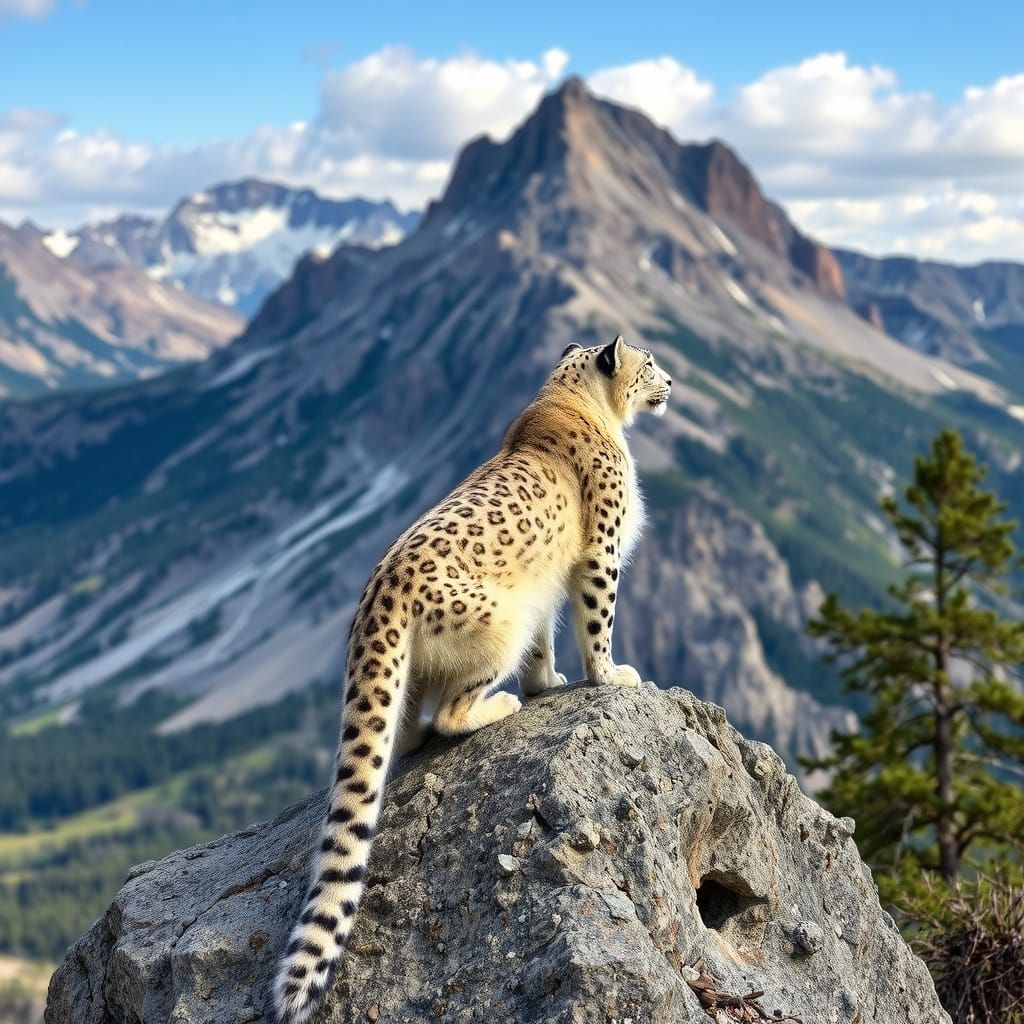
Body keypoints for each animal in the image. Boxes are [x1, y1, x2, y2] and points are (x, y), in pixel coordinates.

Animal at [274, 335, 672, 1023]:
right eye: (647, 363)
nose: (671, 382)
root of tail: (376, 602)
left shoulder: (547, 591)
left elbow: (549, 636)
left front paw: (549, 679)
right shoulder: (599, 556)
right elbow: (597, 621)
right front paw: (609, 674)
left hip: (415, 671)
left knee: (403, 731)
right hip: (497, 628)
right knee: (448, 715)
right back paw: (501, 705)